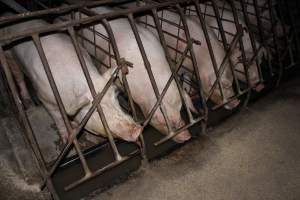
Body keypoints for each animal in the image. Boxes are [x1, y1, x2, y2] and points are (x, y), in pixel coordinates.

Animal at [0, 17, 142, 142]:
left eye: (115, 98)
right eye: (96, 111)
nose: (137, 130)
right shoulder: (45, 99)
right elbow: (58, 119)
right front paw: (65, 138)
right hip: (9, 56)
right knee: (19, 77)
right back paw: (27, 101)